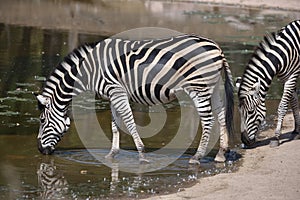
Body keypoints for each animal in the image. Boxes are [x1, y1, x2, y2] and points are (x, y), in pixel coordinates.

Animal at [34, 34, 233, 164]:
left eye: (42, 120)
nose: (40, 151)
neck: (91, 70)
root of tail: (217, 48)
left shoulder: (117, 91)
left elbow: (129, 122)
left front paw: (142, 155)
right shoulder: (111, 95)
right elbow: (115, 126)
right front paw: (111, 155)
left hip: (198, 88)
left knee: (208, 120)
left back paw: (197, 157)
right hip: (213, 87)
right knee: (221, 115)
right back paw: (221, 154)